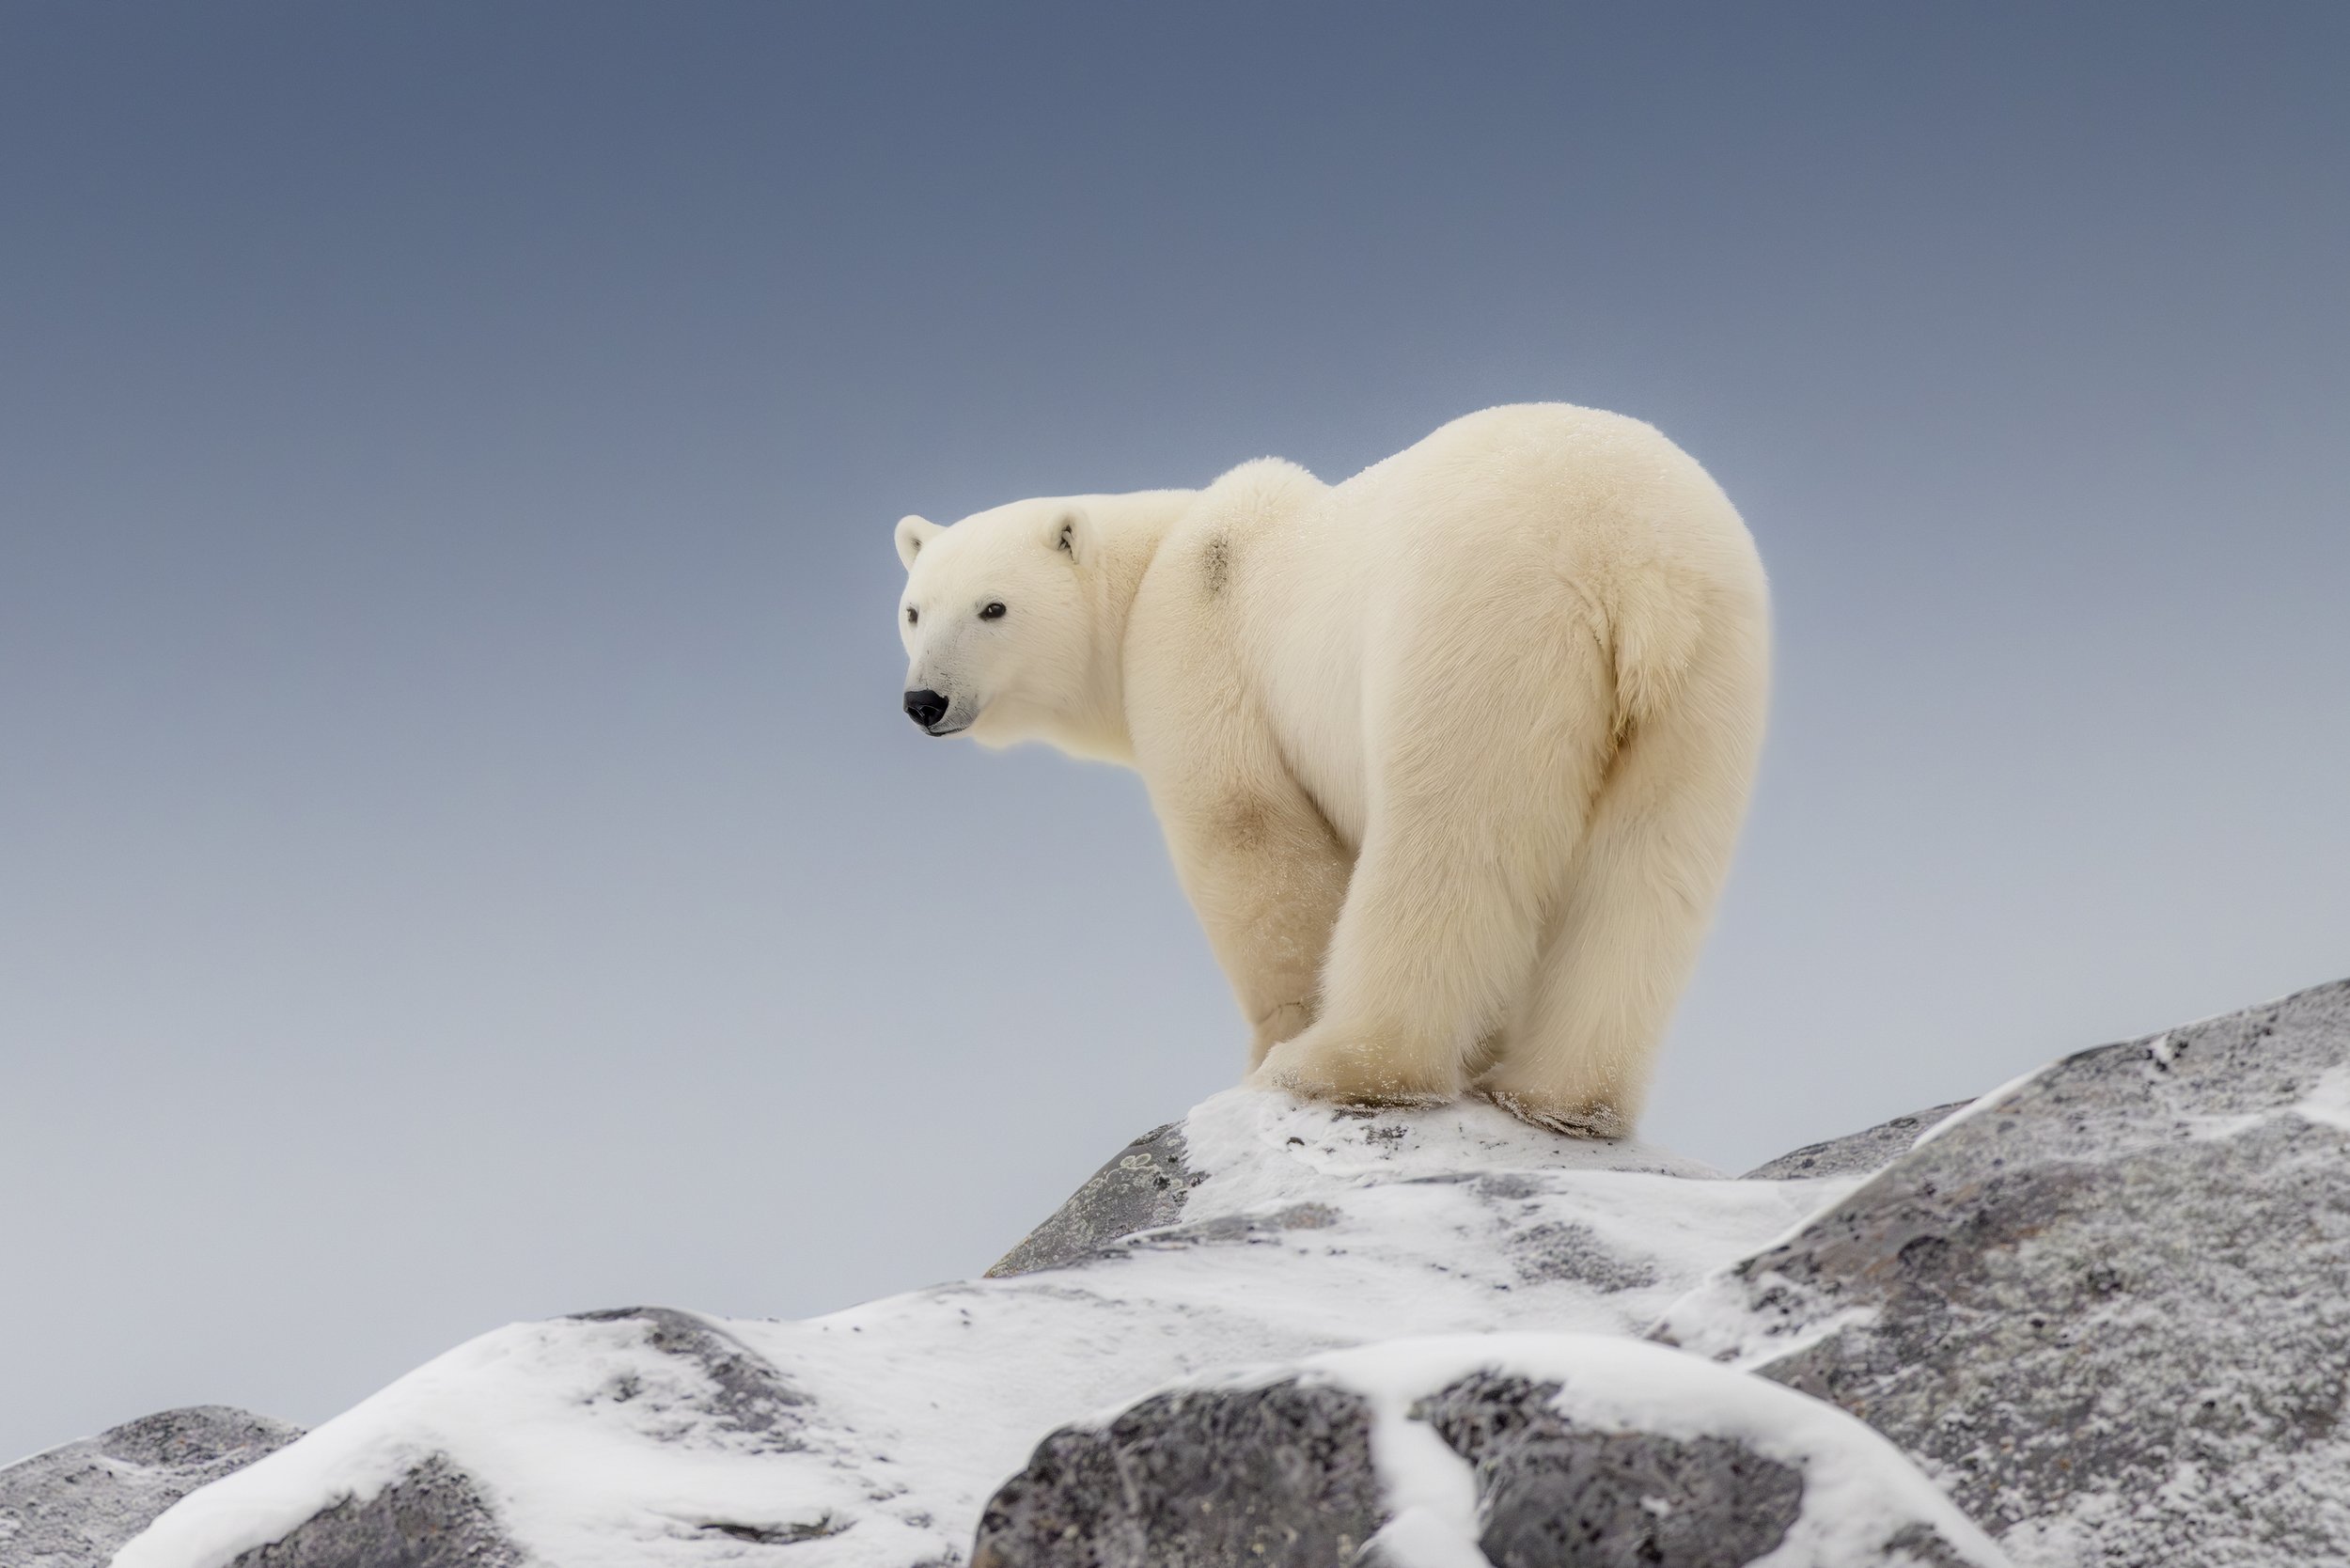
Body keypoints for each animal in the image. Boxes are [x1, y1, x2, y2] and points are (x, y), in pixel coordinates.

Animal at [892, 404, 1768, 1137]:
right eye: (913, 609)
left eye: (993, 607)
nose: (924, 701)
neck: (1159, 561)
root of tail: (1632, 566)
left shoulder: (1202, 643)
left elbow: (1250, 836)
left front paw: (1273, 1045)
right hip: (1703, 681)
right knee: (1650, 872)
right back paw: (1564, 1098)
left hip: (1481, 631)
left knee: (1446, 842)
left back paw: (1341, 1065)